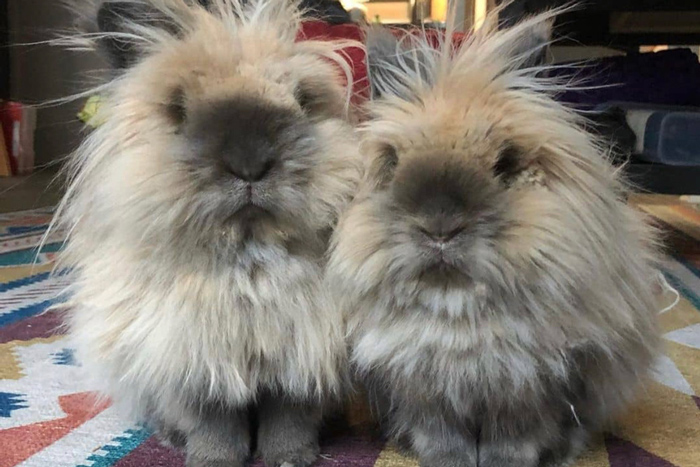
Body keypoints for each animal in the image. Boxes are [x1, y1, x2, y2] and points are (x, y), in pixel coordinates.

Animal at [58, 0, 364, 467]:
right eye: (177, 109)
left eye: (303, 101)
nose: (250, 164)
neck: (248, 258)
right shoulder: (195, 364)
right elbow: (214, 423)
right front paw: (213, 460)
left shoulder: (303, 358)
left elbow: (288, 417)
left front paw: (290, 458)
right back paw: (171, 438)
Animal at [328, 12, 660, 467]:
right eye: (393, 162)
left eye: (506, 163)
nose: (440, 228)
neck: (457, 309)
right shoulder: (424, 389)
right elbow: (442, 435)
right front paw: (449, 461)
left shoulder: (530, 390)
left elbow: (514, 438)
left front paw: (506, 462)